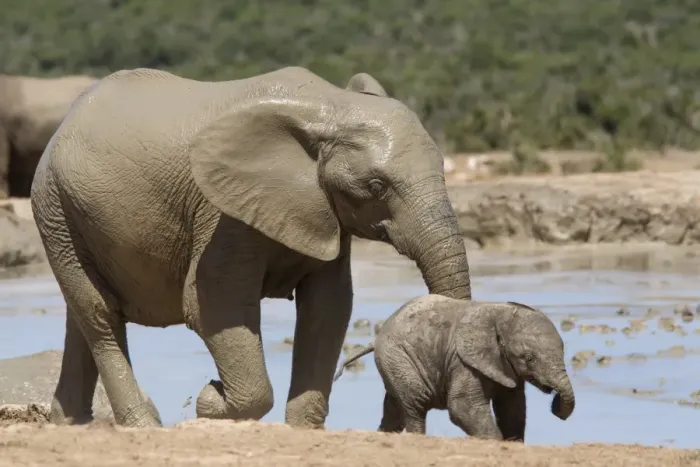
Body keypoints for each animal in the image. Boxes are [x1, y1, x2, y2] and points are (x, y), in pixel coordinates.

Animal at [30, 66, 473, 429]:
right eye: (376, 186)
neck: (329, 107)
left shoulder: (324, 210)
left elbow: (328, 307)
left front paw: (300, 429)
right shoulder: (221, 214)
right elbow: (212, 304)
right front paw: (211, 399)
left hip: (67, 214)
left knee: (82, 317)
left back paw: (70, 422)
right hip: (55, 209)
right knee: (100, 316)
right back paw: (141, 424)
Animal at [334, 295, 575, 441]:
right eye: (529, 358)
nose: (555, 404)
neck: (499, 315)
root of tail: (378, 336)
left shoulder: (505, 367)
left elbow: (513, 408)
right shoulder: (463, 361)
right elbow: (462, 406)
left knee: (394, 408)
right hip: (397, 356)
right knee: (415, 404)